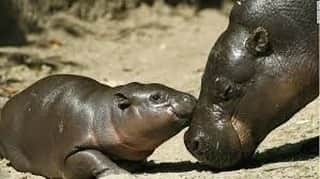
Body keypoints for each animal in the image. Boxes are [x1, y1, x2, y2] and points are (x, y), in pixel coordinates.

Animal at [0, 74, 195, 179]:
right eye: (156, 97)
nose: (190, 97)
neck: (107, 112)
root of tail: (6, 107)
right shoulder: (73, 148)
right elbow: (95, 158)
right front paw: (122, 174)